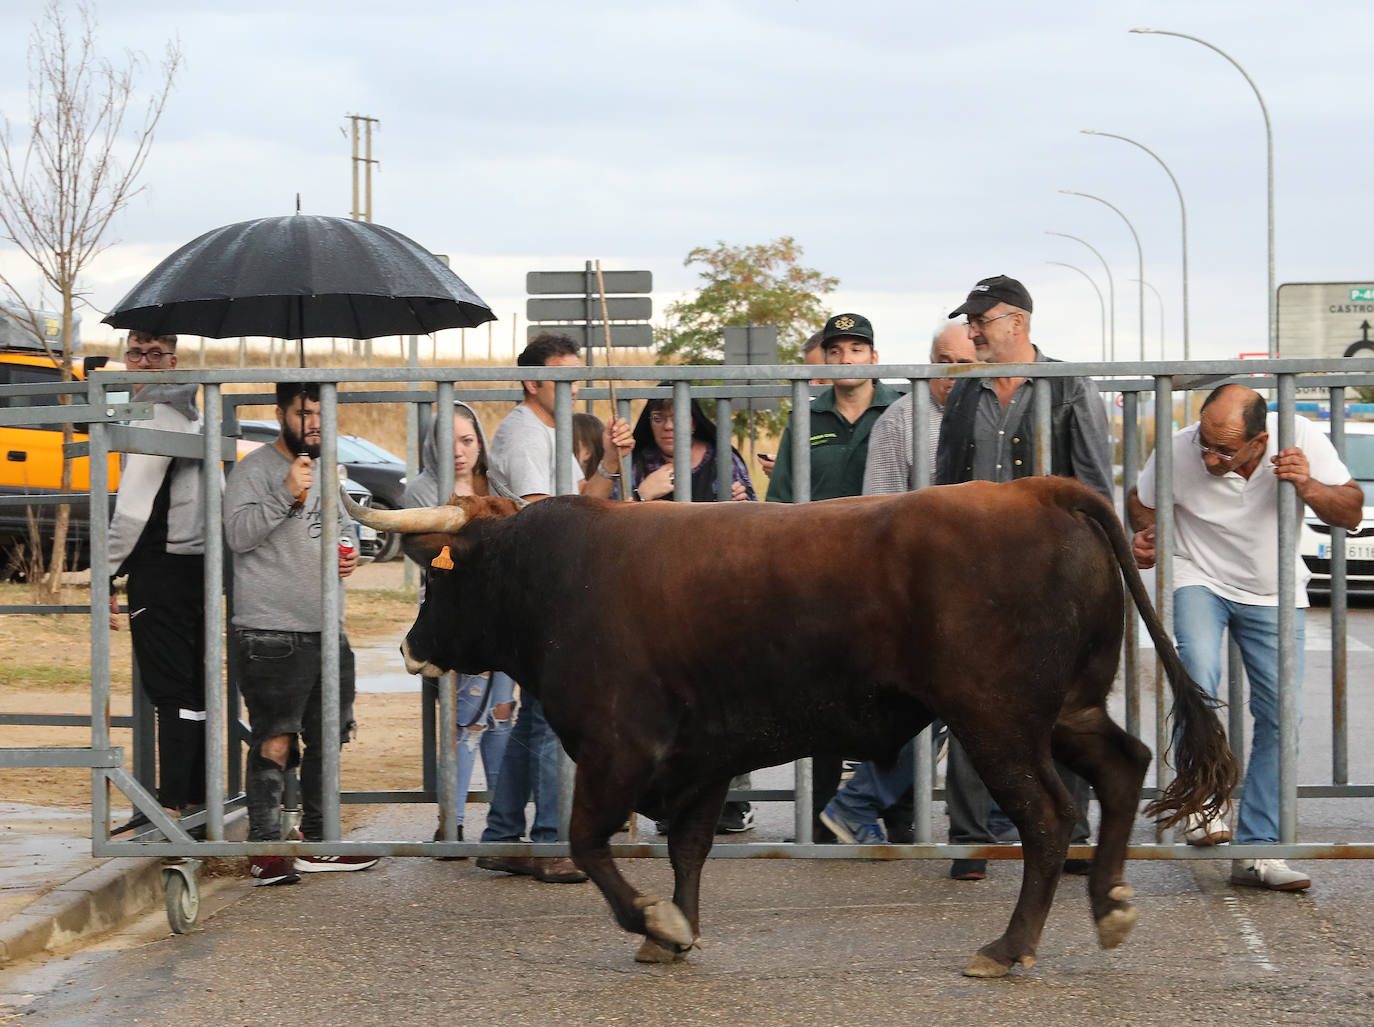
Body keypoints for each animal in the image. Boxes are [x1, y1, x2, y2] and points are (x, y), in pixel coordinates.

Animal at [343, 478, 1236, 978]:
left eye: (437, 582)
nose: (410, 646)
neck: (550, 574)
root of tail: (1041, 489)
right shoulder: (701, 757)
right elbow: (688, 848)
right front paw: (674, 933)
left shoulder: (617, 746)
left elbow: (591, 841)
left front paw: (655, 922)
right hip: (1065, 710)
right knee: (1122, 765)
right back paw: (1109, 902)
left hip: (999, 720)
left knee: (1051, 817)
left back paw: (1008, 946)